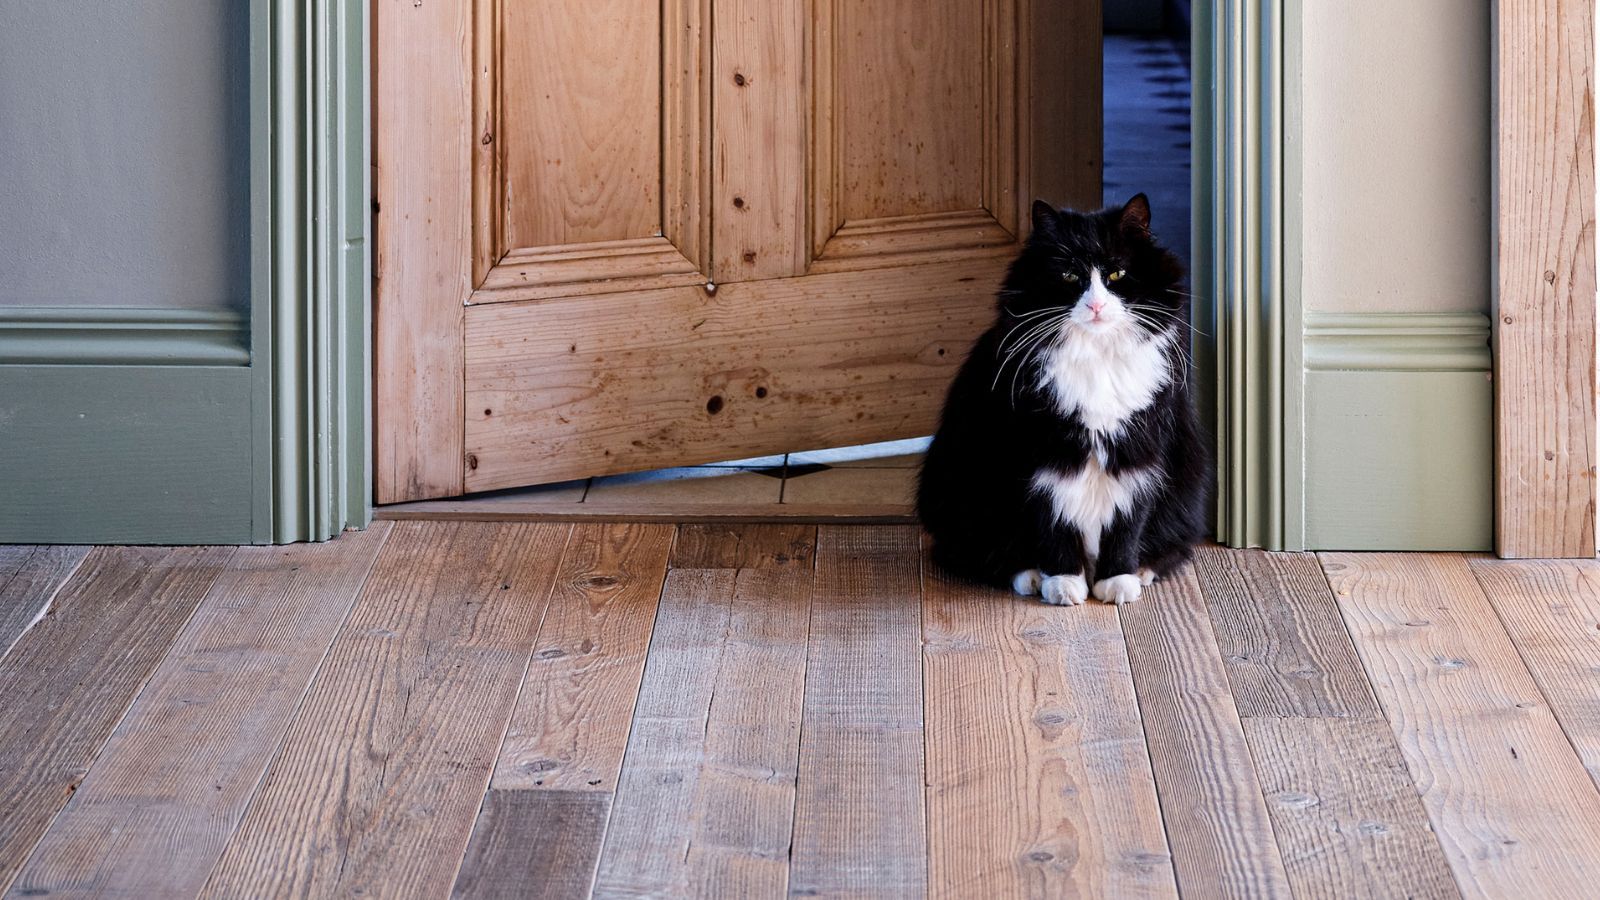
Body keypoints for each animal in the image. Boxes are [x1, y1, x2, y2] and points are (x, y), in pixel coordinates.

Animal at [921, 194, 1203, 602]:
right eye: (1070, 276)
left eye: (1116, 275)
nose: (1096, 306)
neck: (1096, 358)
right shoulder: (1042, 456)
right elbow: (1052, 520)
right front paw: (1064, 583)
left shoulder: (1139, 453)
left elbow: (1128, 521)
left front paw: (1116, 581)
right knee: (974, 554)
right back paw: (1032, 578)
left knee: (1173, 546)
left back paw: (1141, 572)